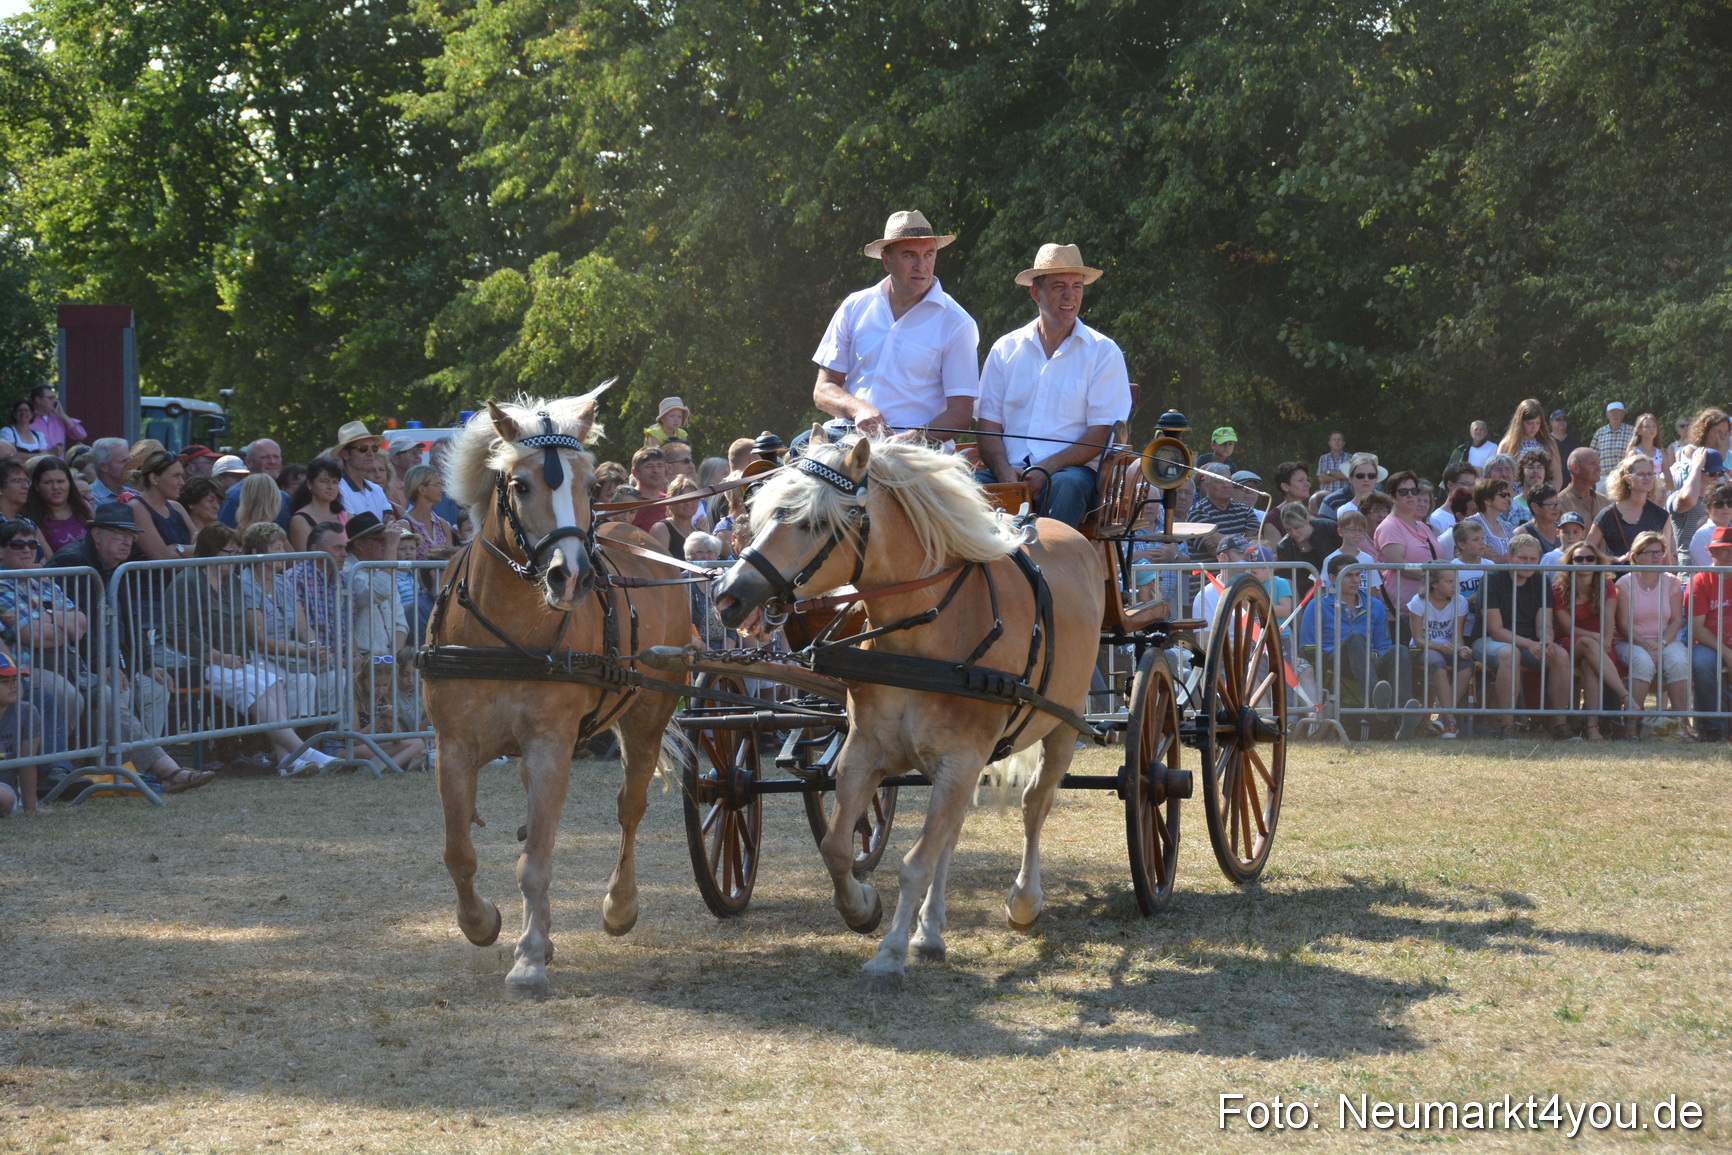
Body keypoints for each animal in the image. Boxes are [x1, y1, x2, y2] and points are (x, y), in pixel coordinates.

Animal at [422, 385, 691, 996]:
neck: (508, 628)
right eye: (521, 485)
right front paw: (483, 924)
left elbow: (536, 861)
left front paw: (527, 960)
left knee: (630, 809)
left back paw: (619, 906)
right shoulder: (453, 747)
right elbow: (458, 851)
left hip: (646, 717)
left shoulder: (550, 745)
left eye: (590, 487)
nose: (572, 576)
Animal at [712, 430, 1105, 992]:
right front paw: (863, 909)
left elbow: (915, 863)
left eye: (812, 522)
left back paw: (1024, 901)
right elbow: (838, 847)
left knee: (1035, 804)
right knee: (954, 831)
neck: (925, 637)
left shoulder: (961, 759)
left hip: (1060, 726)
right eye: (763, 513)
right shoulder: (865, 750)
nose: (727, 597)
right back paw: (931, 931)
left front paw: (889, 952)